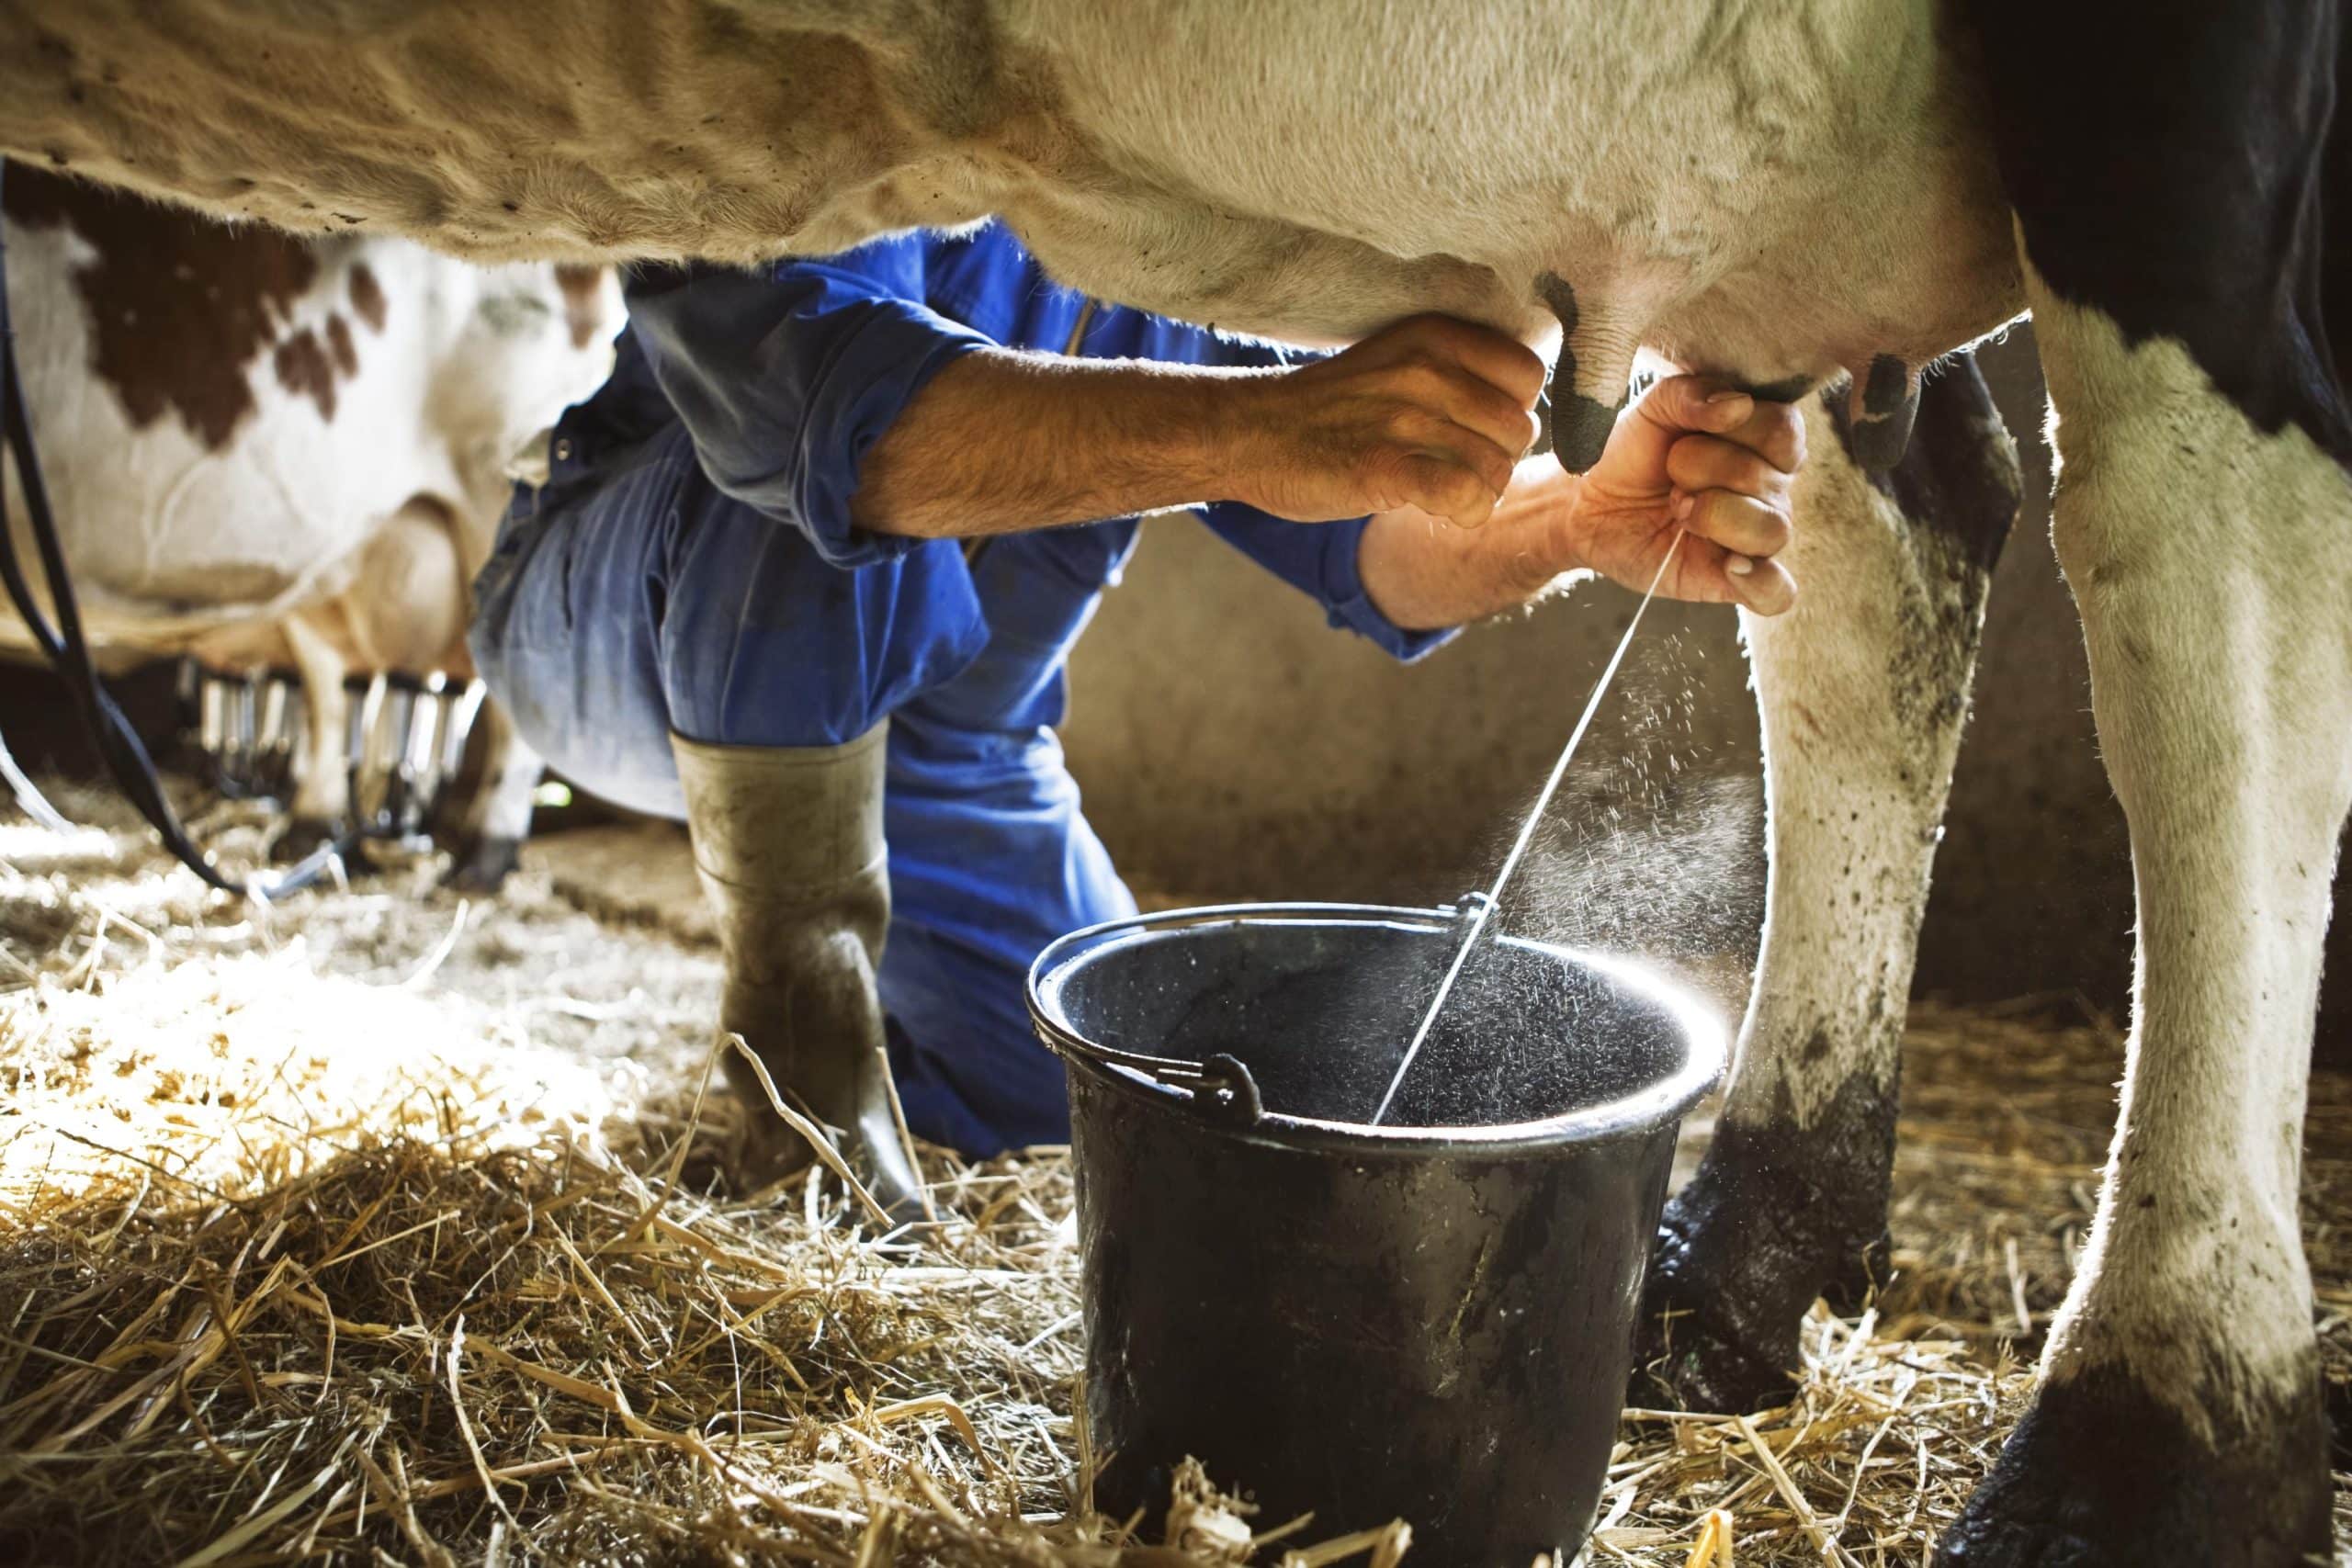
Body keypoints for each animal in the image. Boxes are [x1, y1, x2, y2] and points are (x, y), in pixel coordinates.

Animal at [0, 169, 620, 893]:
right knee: (333, 689)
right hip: (339, 562)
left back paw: (479, 856)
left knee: (506, 693)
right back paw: (316, 830)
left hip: (502, 488)